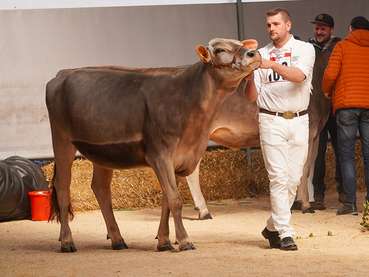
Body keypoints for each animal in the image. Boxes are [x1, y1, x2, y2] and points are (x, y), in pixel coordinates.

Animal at [44, 37, 260, 251]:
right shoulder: (160, 155)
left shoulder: (180, 157)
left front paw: (164, 241)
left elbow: (167, 201)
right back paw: (67, 241)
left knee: (100, 188)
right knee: (62, 187)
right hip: (62, 140)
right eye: (221, 49)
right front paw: (184, 241)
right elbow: (175, 200)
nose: (253, 54)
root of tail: (63, 73)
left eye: (242, 44)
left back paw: (117, 239)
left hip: (102, 153)